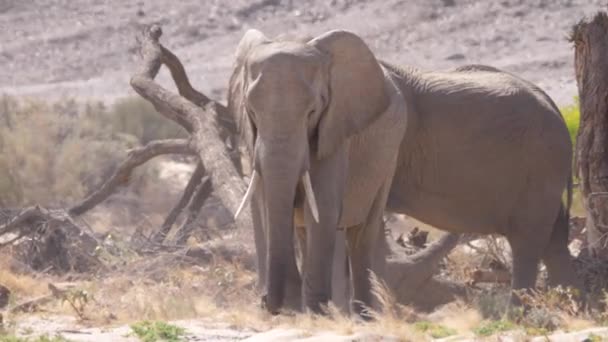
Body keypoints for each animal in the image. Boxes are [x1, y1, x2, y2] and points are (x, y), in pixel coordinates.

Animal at [230, 29, 410, 316]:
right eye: (252, 111)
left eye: (312, 112)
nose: (266, 303)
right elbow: (266, 203)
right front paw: (294, 307)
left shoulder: (335, 129)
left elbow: (323, 209)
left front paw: (316, 312)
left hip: (389, 153)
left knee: (362, 235)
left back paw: (363, 317)